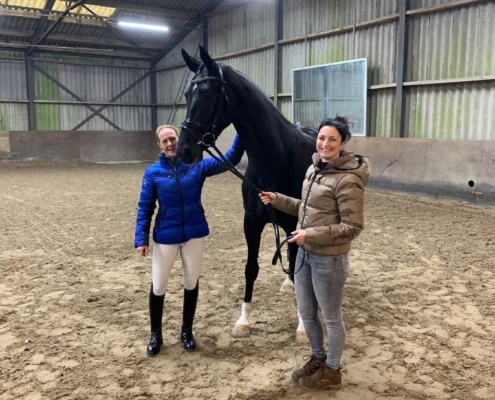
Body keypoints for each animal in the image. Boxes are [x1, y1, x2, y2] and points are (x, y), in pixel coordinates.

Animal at [177, 45, 318, 342]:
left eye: (207, 94)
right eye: (186, 95)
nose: (184, 150)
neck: (276, 157)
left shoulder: (295, 221)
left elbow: (300, 266)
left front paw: (303, 326)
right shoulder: (251, 222)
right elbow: (251, 268)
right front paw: (243, 321)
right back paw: (288, 285)